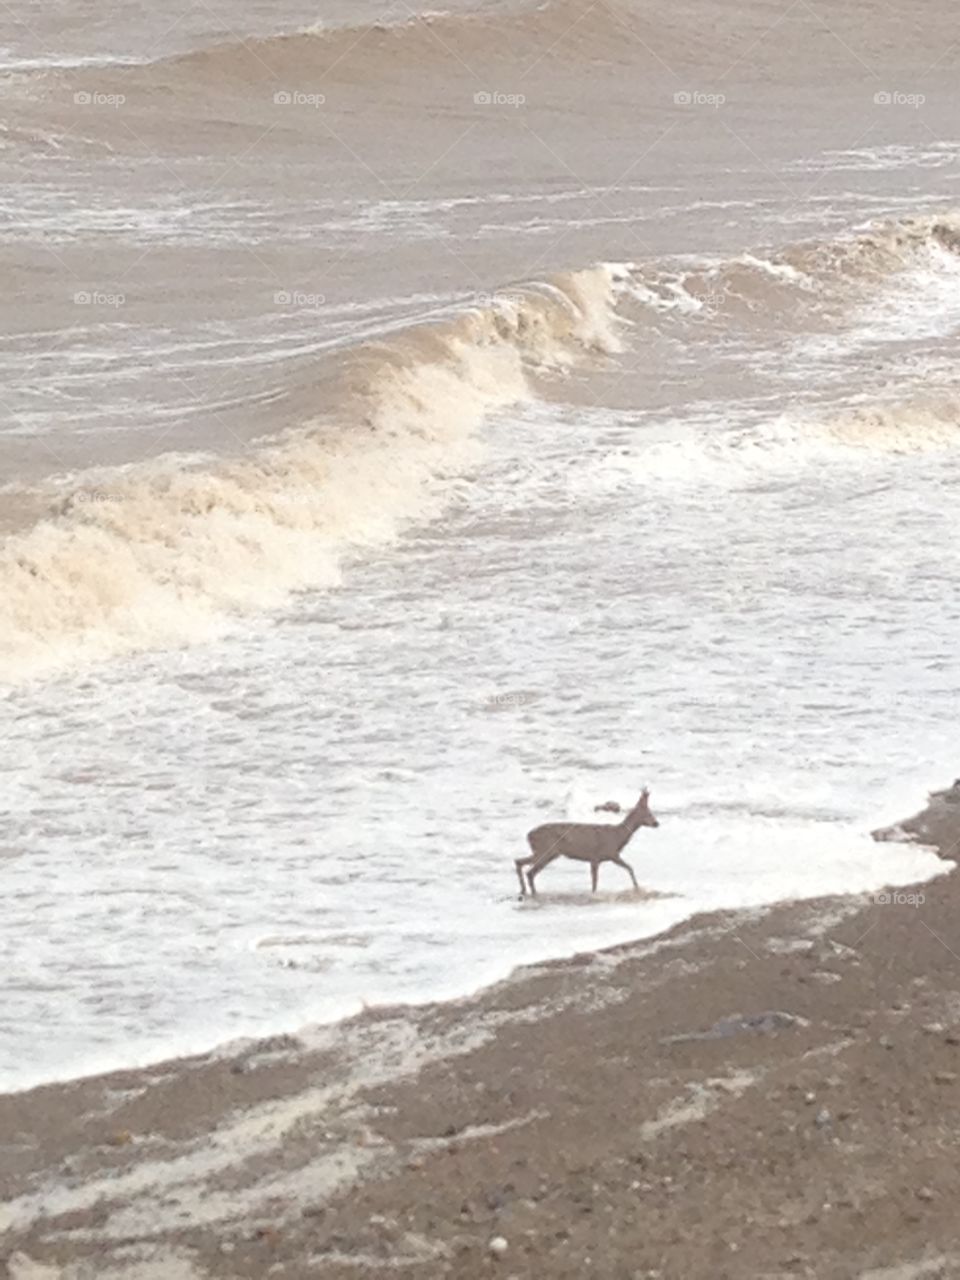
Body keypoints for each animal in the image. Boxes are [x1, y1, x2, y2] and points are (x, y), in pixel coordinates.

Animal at [519, 788, 660, 901]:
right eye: (649, 813)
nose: (657, 823)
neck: (617, 836)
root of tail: (528, 835)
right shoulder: (602, 855)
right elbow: (599, 879)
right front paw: (636, 887)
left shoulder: (605, 857)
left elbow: (626, 869)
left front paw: (637, 888)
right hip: (546, 850)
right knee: (529, 871)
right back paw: (532, 893)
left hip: (546, 852)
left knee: (521, 864)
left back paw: (525, 891)